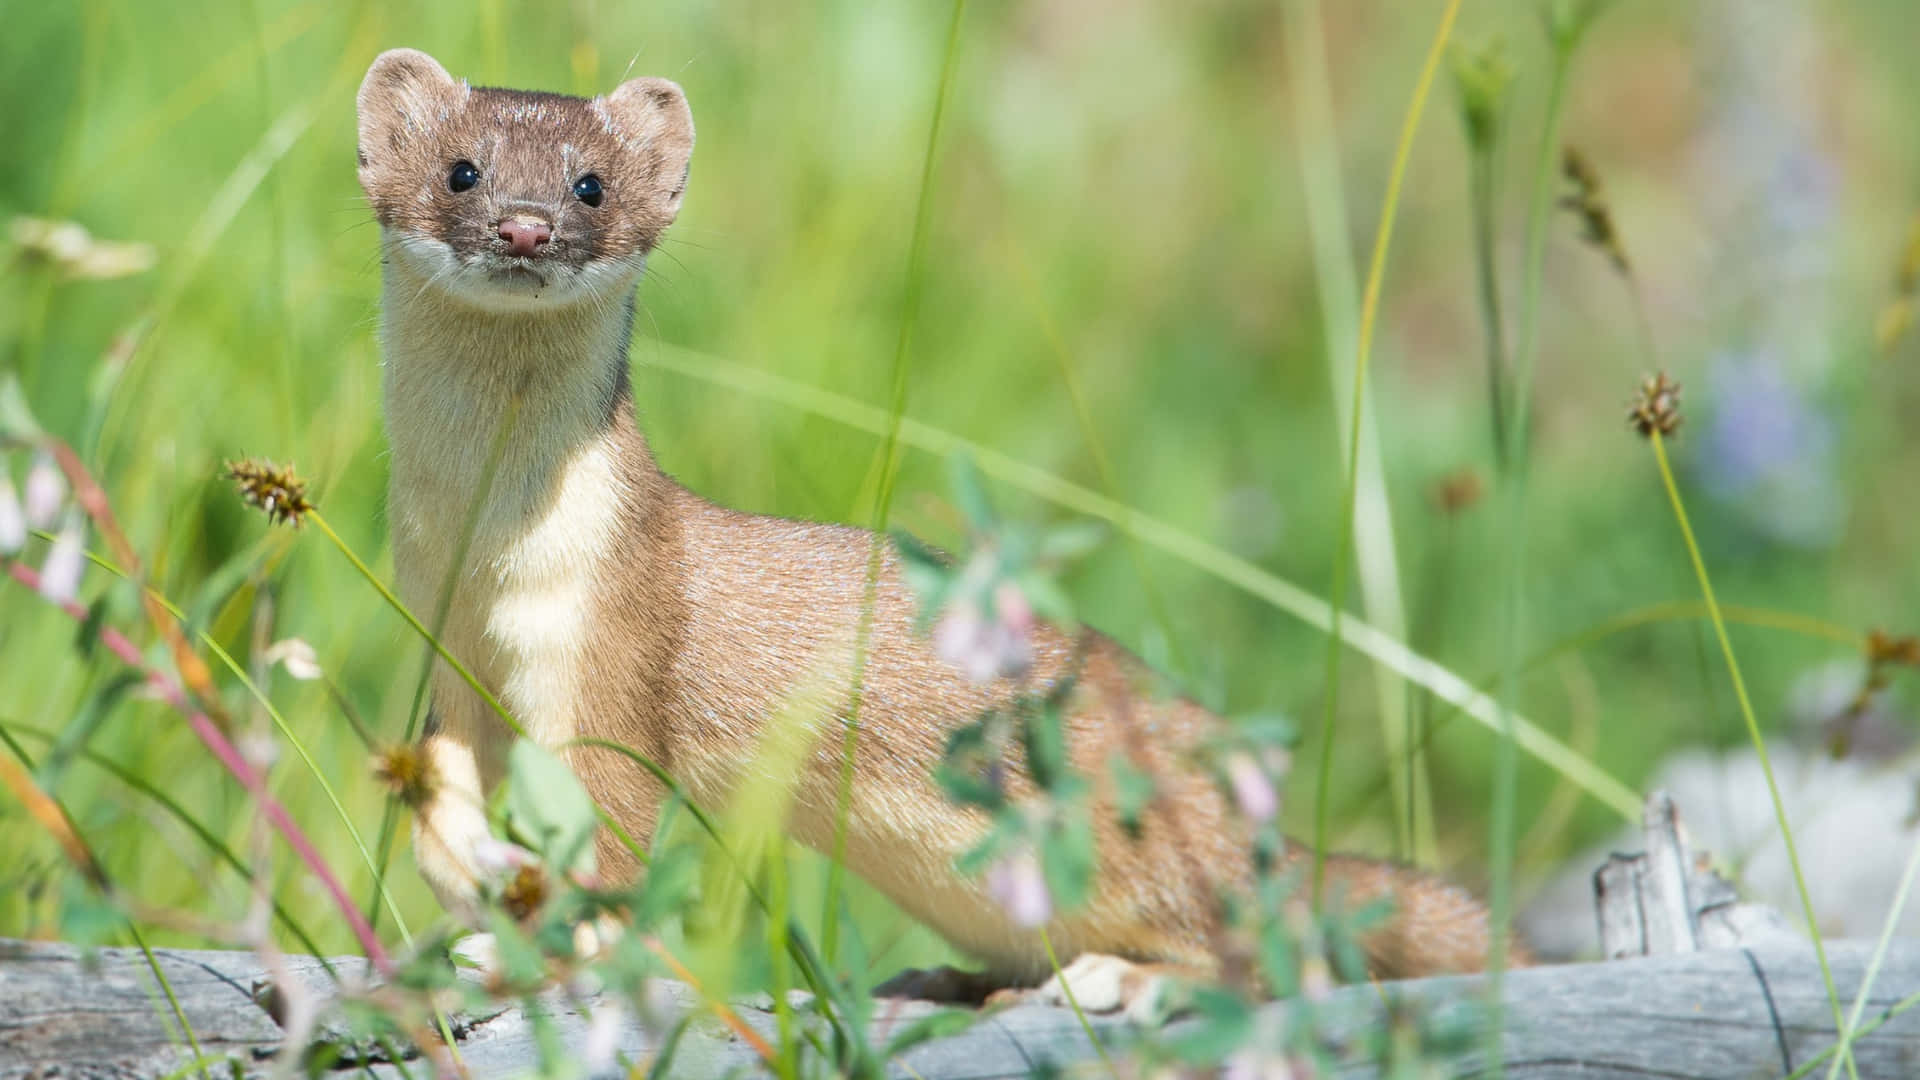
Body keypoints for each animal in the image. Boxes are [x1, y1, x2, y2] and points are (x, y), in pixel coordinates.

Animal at [357, 48, 1528, 1006]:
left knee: (1276, 952)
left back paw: (1117, 978)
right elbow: (440, 788)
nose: (525, 224)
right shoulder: (441, 638)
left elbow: (616, 835)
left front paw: (557, 951)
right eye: (462, 170)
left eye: (590, 183)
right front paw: (475, 881)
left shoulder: (613, 642)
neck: (486, 546)